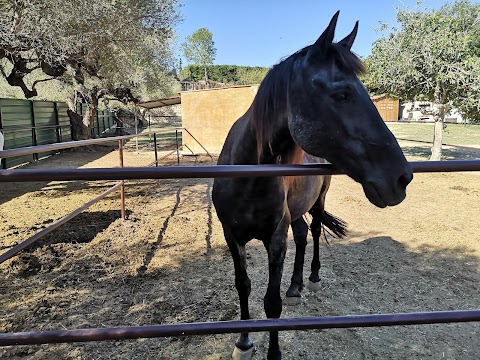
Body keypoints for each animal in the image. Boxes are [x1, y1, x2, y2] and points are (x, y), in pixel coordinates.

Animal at [213, 11, 412, 360]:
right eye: (342, 94)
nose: (401, 177)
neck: (246, 177)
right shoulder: (231, 236)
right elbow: (244, 286)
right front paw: (243, 342)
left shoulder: (276, 239)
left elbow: (272, 303)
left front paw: (273, 353)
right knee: (303, 234)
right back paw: (296, 287)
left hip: (319, 199)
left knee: (315, 232)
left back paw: (313, 278)